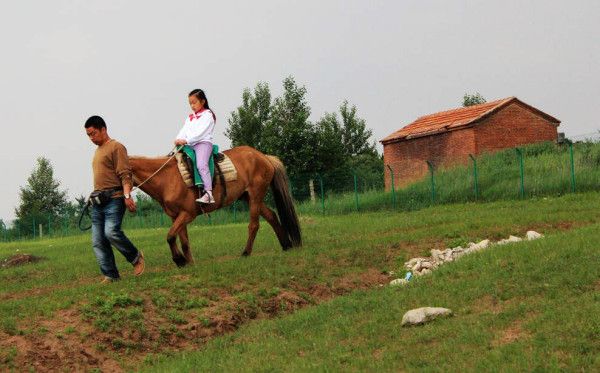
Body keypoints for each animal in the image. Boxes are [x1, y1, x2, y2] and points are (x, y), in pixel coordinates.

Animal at [128, 146, 302, 268]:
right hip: (249, 197)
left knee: (254, 225)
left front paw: (179, 260)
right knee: (272, 215)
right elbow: (184, 241)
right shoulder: (176, 216)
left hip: (255, 195)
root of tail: (264, 157)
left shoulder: (187, 214)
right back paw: (286, 245)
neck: (166, 178)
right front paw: (190, 263)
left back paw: (246, 253)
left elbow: (170, 236)